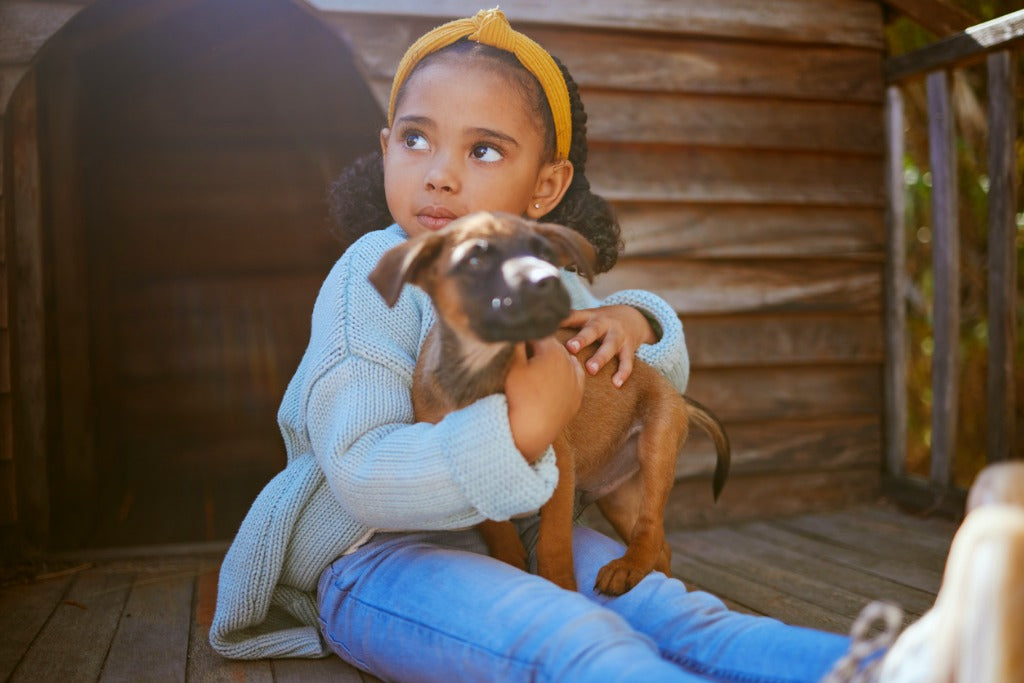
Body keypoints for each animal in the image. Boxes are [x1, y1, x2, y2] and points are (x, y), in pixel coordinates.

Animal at [368, 210, 729, 593]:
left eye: (543, 253)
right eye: (475, 259)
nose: (545, 282)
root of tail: (677, 394)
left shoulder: (559, 466)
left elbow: (553, 543)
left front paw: (562, 585)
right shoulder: (467, 461)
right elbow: (491, 519)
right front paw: (509, 556)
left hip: (656, 446)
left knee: (651, 531)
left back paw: (627, 567)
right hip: (618, 497)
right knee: (661, 546)